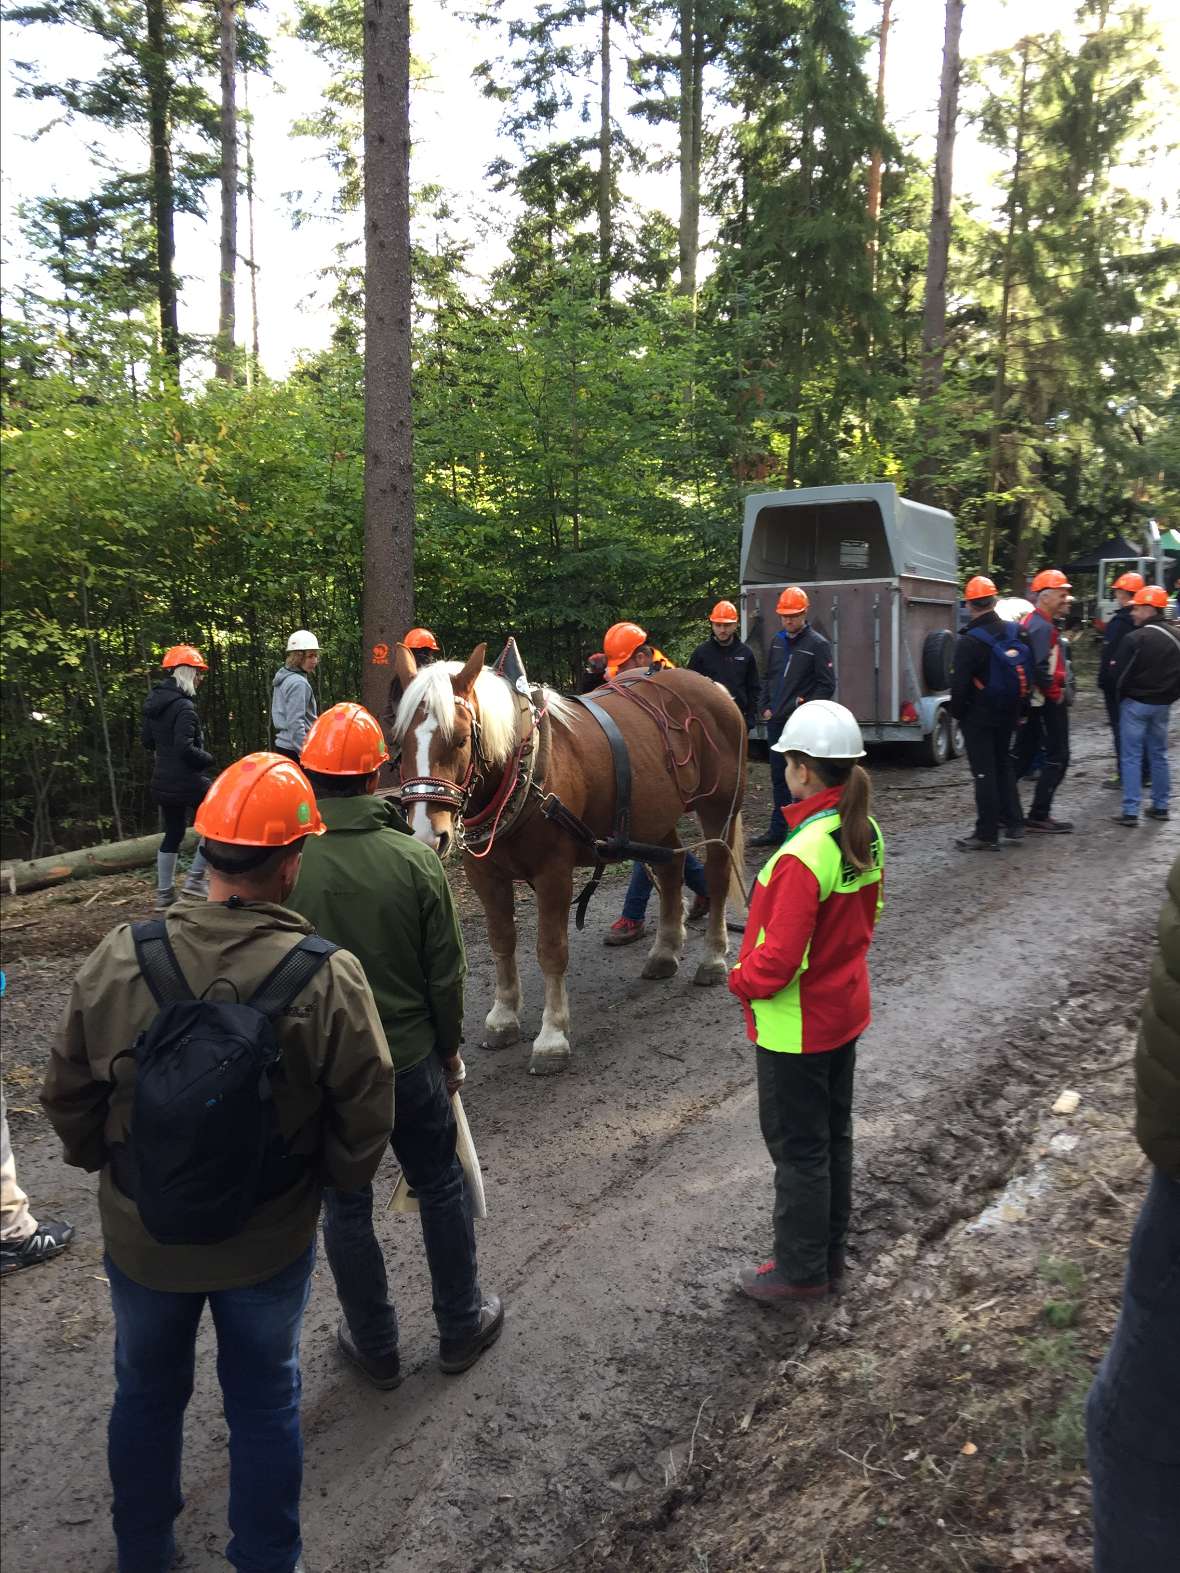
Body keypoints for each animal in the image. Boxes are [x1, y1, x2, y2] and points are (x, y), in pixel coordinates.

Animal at [398, 638, 748, 1069]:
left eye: (461, 739)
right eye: (399, 746)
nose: (427, 835)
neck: (522, 768)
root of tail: (714, 687)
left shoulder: (554, 873)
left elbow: (550, 950)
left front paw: (552, 1037)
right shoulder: (486, 874)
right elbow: (502, 940)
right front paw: (503, 1017)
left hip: (719, 808)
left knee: (716, 874)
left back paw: (713, 957)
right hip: (654, 815)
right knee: (671, 869)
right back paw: (665, 952)